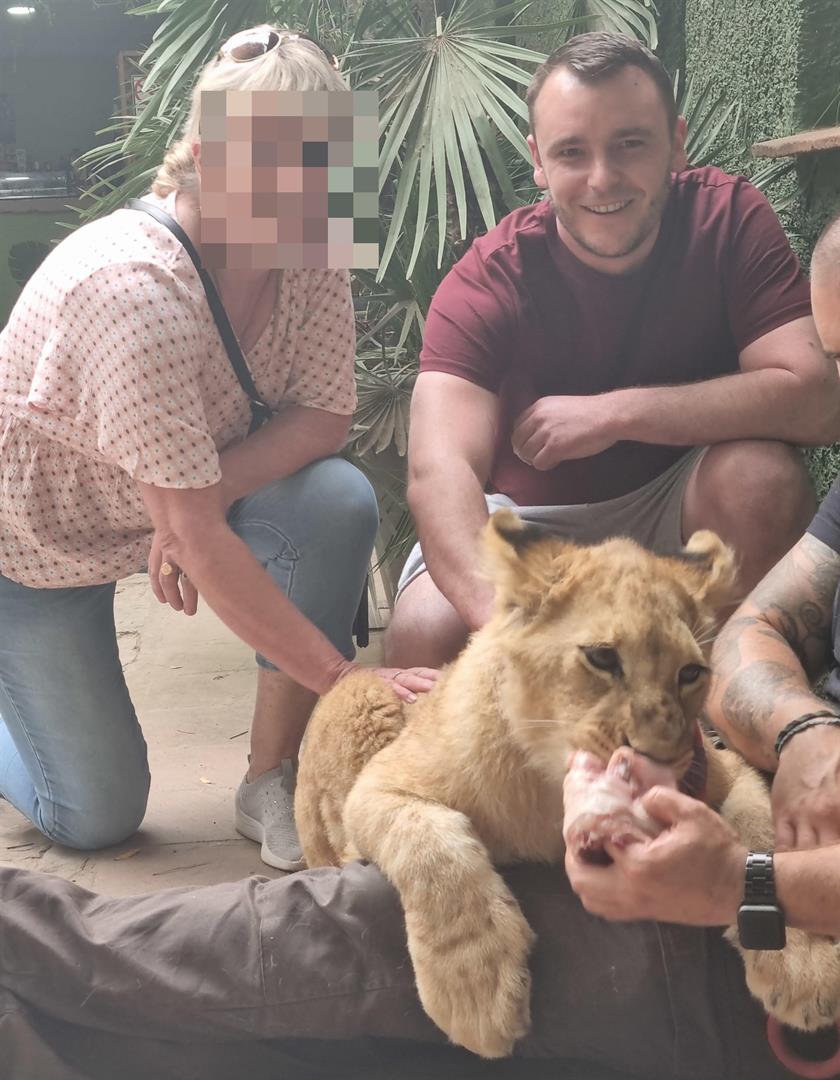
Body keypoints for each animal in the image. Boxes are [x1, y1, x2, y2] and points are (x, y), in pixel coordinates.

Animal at [295, 509, 840, 1059]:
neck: (549, 782)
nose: (660, 761)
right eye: (602, 658)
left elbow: (759, 834)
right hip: (362, 696)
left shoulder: (727, 769)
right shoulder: (380, 784)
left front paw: (804, 962)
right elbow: (429, 847)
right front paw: (476, 990)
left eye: (690, 673)